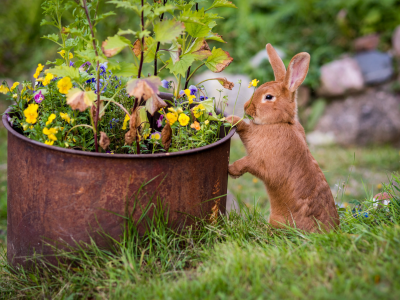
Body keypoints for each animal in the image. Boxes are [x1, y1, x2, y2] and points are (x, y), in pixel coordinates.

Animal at [227, 44, 340, 232]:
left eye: (268, 97)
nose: (246, 108)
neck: (281, 122)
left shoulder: (260, 162)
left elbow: (246, 160)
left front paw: (231, 169)